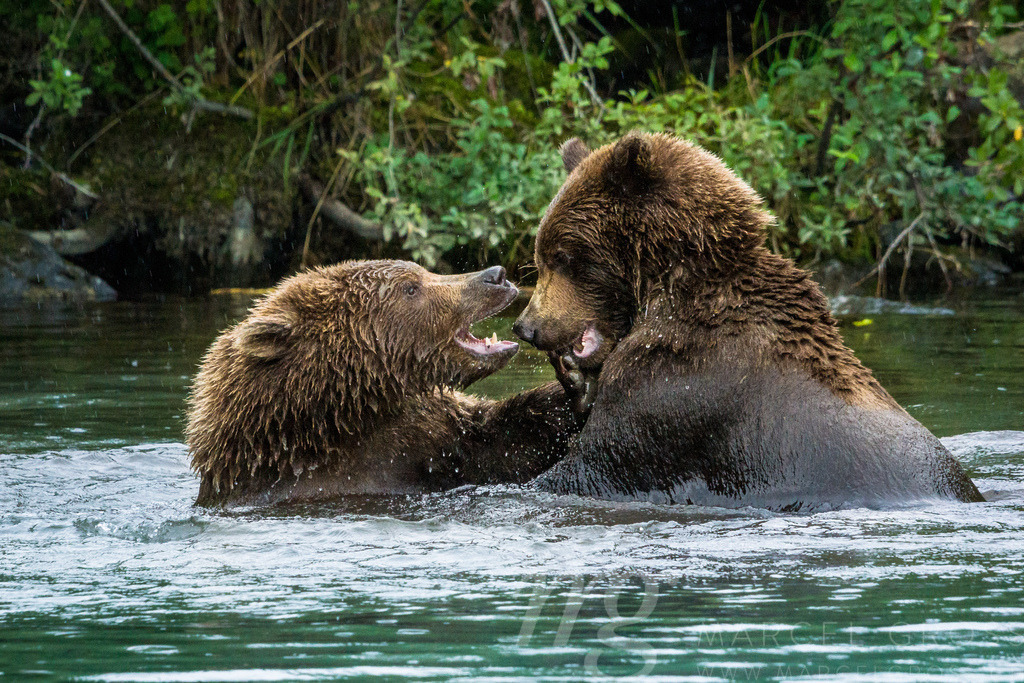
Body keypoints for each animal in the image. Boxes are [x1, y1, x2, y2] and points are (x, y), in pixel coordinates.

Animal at [186, 260, 585, 506]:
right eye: (411, 288)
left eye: (420, 270)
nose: (497, 275)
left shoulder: (439, 439)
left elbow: (508, 437)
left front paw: (575, 380)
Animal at [512, 132, 983, 511]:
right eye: (540, 256)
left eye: (563, 256)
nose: (527, 327)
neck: (672, 289)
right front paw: (573, 382)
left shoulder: (682, 388)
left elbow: (597, 460)